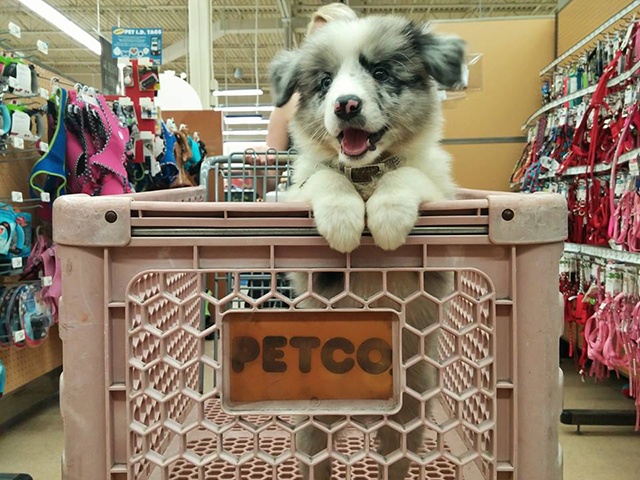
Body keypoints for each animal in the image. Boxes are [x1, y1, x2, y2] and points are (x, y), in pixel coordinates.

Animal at [268, 15, 464, 480]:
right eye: (325, 82)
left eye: (381, 72)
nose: (346, 106)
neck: (364, 176)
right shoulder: (300, 218)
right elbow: (324, 175)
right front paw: (343, 219)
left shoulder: (442, 206)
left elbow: (407, 174)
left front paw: (388, 216)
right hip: (312, 420)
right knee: (317, 457)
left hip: (410, 413)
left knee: (395, 457)